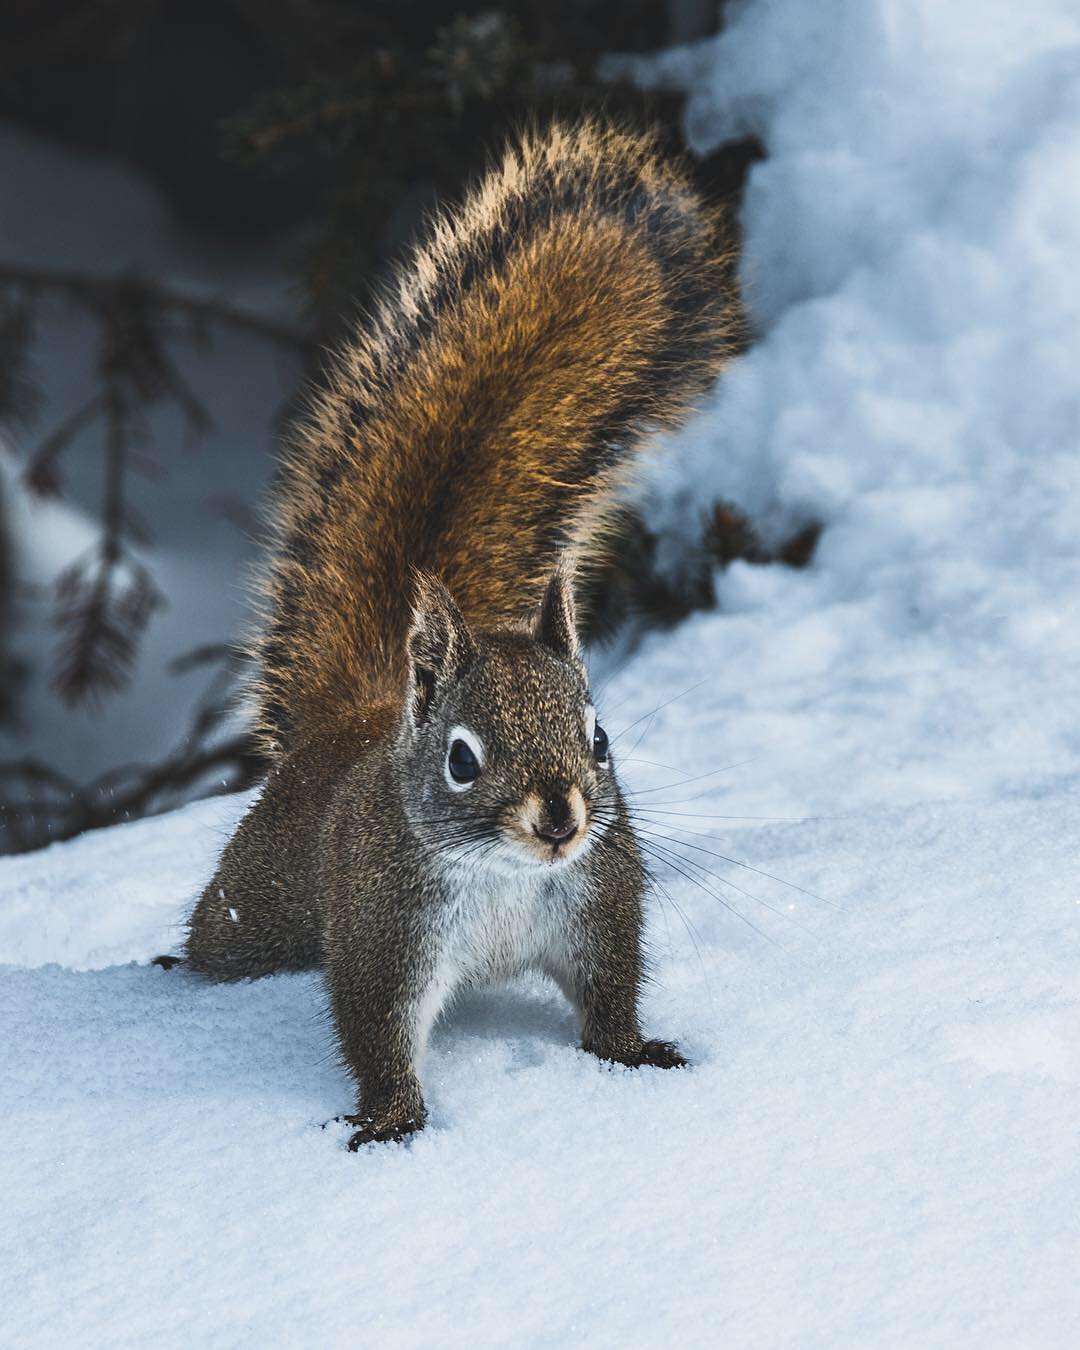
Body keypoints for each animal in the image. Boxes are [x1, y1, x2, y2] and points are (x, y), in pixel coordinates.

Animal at [183, 118, 745, 1150]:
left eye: (600, 739)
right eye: (461, 760)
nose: (562, 819)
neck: (506, 874)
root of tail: (351, 725)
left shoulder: (599, 903)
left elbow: (610, 998)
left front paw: (634, 1055)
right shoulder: (382, 933)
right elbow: (378, 1033)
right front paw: (393, 1123)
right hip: (260, 907)